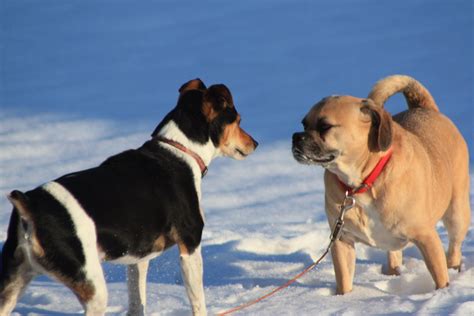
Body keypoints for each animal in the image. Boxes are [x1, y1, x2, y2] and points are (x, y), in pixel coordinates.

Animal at [0, 78, 258, 314]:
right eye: (237, 120)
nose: (255, 143)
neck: (179, 149)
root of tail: (30, 205)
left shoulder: (138, 258)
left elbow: (137, 301)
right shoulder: (190, 245)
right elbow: (198, 301)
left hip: (14, 281)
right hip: (92, 287)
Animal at [292, 75, 470, 296]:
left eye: (325, 126)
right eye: (304, 124)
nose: (295, 136)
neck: (361, 184)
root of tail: (424, 107)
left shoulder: (426, 236)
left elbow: (439, 274)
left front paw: (442, 293)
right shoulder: (342, 240)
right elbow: (344, 279)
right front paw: (343, 299)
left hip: (457, 213)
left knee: (454, 246)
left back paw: (453, 268)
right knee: (394, 253)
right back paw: (393, 273)